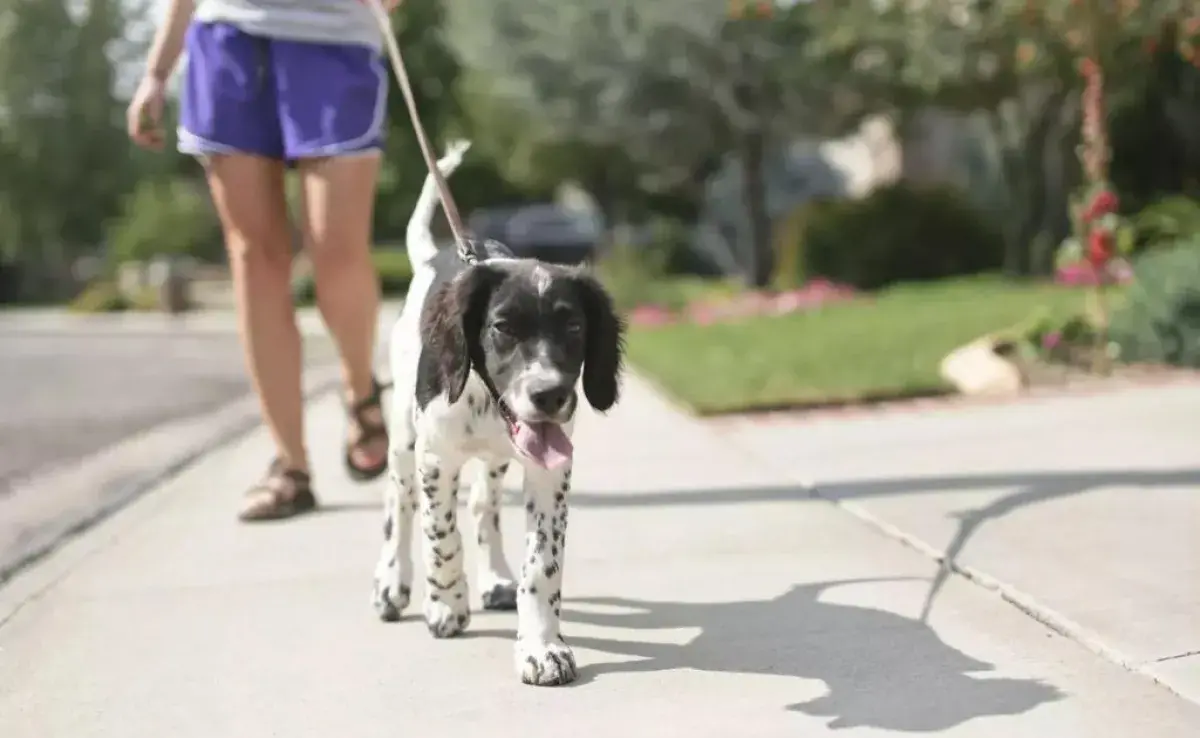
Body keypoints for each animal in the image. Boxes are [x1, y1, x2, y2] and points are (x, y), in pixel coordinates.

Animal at [369, 139, 624, 686]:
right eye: (503, 327)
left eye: (574, 328)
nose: (550, 395)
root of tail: (435, 256)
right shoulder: (435, 459)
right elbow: (440, 536)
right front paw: (446, 605)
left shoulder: (551, 470)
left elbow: (542, 564)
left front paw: (542, 646)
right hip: (403, 439)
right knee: (399, 504)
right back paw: (392, 584)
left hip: (497, 459)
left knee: (483, 507)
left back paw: (496, 580)